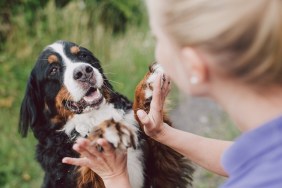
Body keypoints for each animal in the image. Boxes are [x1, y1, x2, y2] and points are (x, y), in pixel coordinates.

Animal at [18, 40, 194, 187]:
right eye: (53, 70)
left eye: (83, 55)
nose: (84, 71)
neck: (95, 115)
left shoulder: (162, 172)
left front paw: (147, 86)